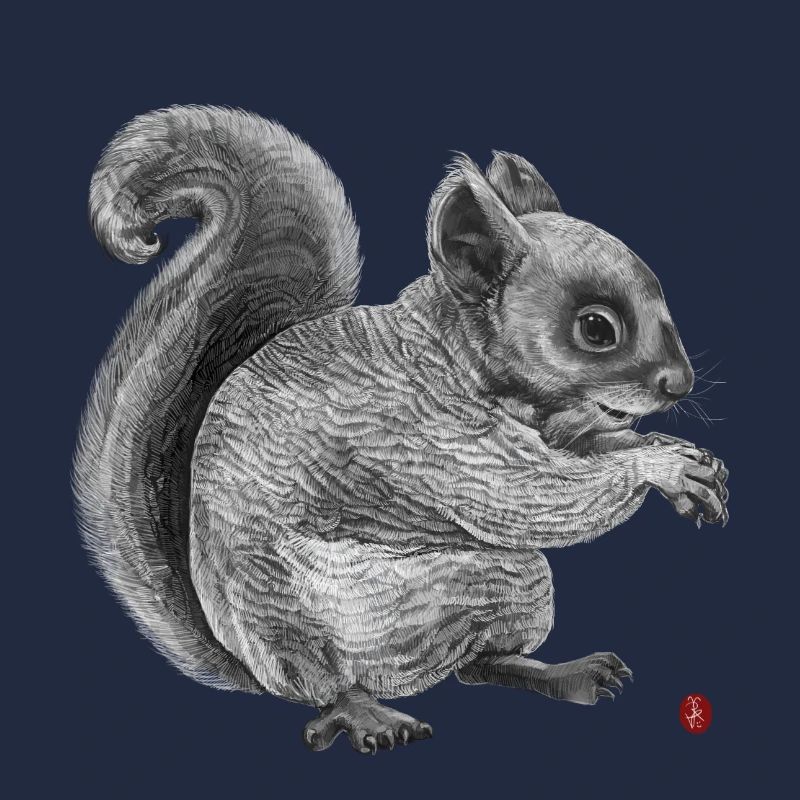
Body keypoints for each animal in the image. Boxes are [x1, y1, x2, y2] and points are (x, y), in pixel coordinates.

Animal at [74, 105, 729, 754]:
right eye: (596, 329)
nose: (680, 384)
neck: (450, 352)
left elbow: (581, 450)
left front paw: (677, 457)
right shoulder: (433, 438)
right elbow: (530, 497)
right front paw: (661, 466)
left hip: (516, 586)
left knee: (481, 663)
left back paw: (563, 673)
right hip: (294, 623)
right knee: (327, 687)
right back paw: (367, 715)